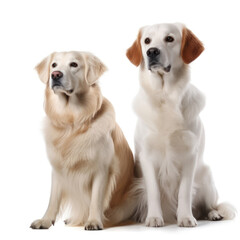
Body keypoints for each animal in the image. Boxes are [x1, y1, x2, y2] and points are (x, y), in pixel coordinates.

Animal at [126, 23, 235, 228]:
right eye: (147, 41)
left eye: (169, 38)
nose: (152, 52)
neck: (165, 97)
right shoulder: (147, 157)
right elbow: (154, 191)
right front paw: (154, 217)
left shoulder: (189, 155)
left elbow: (185, 192)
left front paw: (185, 217)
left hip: (206, 176)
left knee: (209, 206)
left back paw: (213, 214)